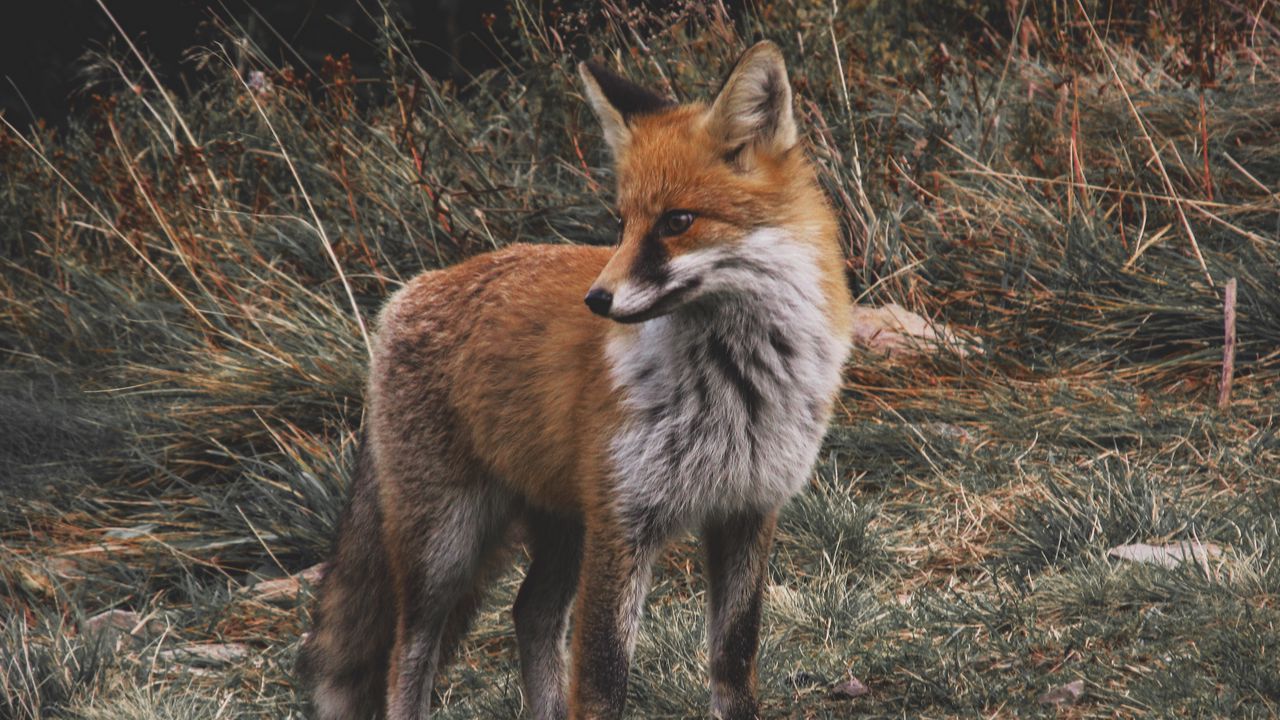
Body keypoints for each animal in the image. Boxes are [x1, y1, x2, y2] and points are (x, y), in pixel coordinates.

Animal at [300, 43, 855, 717]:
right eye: (621, 224)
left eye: (677, 221)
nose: (597, 299)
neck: (733, 386)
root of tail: (411, 291)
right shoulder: (624, 521)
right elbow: (600, 683)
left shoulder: (747, 510)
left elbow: (733, 664)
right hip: (446, 546)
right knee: (408, 653)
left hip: (562, 525)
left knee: (531, 614)